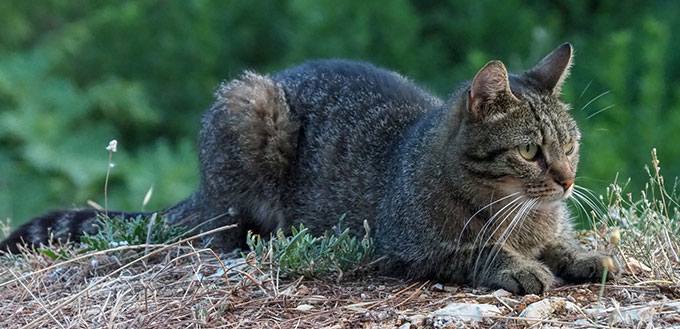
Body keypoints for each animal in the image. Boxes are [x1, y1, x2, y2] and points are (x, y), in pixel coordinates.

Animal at [0, 43, 616, 292]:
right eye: (531, 151)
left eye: (570, 146)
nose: (566, 181)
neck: (522, 213)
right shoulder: (407, 248)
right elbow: (478, 249)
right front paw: (518, 265)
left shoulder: (548, 226)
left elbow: (562, 244)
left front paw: (584, 256)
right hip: (246, 105)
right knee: (215, 232)